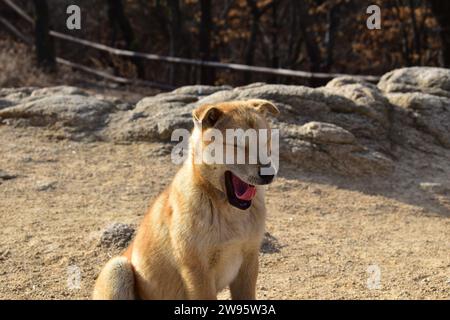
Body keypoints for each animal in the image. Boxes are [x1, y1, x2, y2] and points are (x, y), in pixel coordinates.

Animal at [92, 99, 278, 298]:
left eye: (267, 141)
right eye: (237, 145)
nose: (269, 175)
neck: (227, 208)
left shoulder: (249, 261)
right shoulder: (197, 271)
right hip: (117, 267)